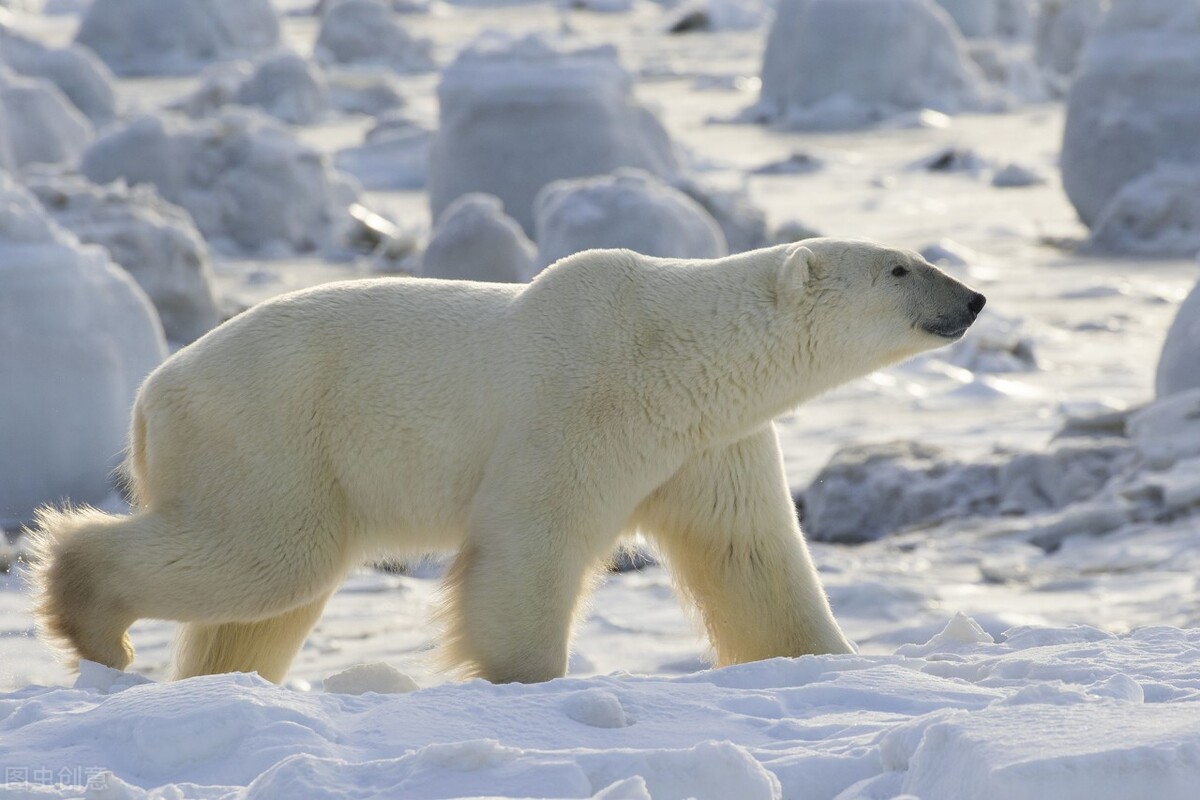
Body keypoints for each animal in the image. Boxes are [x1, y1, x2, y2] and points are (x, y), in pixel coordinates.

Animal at [30, 237, 984, 681]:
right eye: (900, 269)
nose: (973, 297)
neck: (678, 347)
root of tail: (149, 395)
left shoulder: (709, 443)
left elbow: (751, 557)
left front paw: (827, 659)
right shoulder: (582, 401)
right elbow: (531, 541)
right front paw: (527, 678)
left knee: (263, 601)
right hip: (270, 431)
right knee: (266, 556)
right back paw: (96, 626)